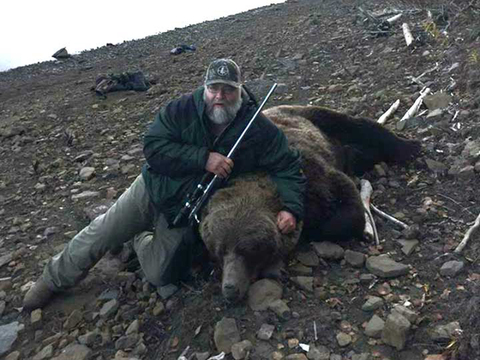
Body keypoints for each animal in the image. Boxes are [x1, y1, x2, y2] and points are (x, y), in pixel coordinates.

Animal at [197, 105, 418, 302]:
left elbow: (349, 212)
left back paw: (412, 147)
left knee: (360, 127)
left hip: (314, 117)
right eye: (219, 252)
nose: (230, 289)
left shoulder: (314, 178)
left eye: (248, 250)